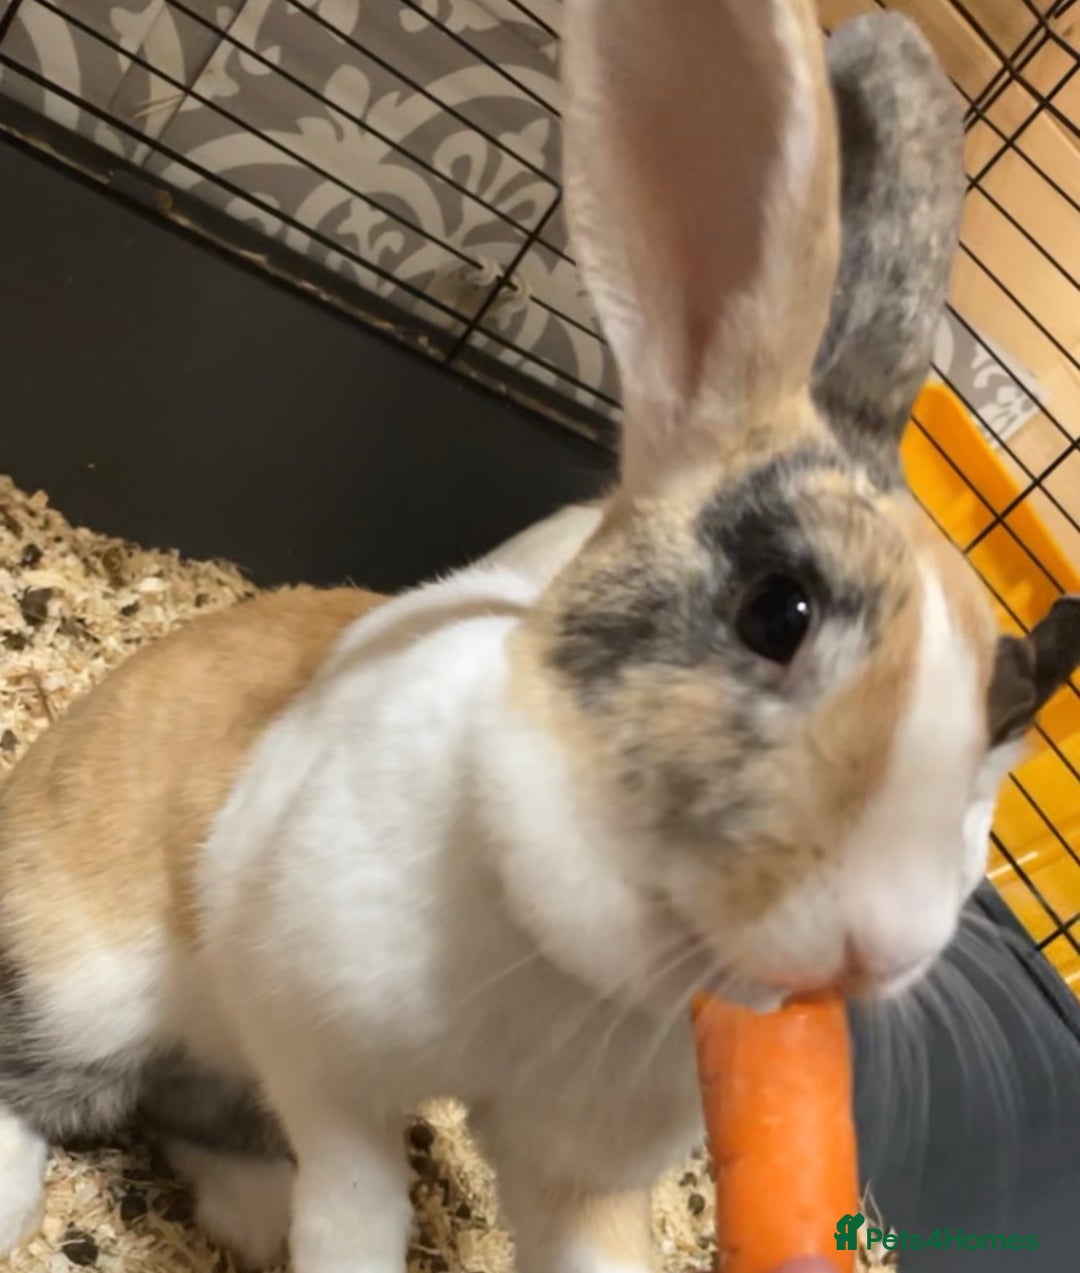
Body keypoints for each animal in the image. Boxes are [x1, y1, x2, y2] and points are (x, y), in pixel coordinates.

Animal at [1, 3, 1078, 1272]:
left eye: (1010, 717)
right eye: (777, 609)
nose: (881, 944)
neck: (565, 965)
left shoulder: (581, 1172)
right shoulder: (325, 1059)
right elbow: (356, 1201)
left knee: (187, 1105)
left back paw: (251, 1210)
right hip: (91, 976)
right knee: (39, 1075)